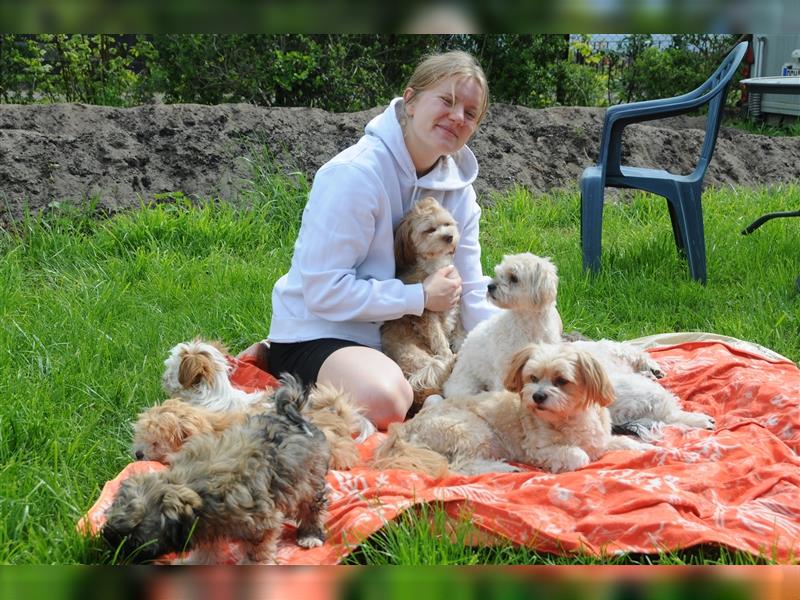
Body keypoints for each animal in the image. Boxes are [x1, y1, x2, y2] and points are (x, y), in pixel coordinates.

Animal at [104, 372, 332, 564]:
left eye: (134, 539)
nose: (111, 549)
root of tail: (291, 413)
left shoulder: (261, 524)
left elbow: (256, 554)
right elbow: (207, 550)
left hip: (309, 478)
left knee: (312, 505)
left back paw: (310, 535)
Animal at [372, 342, 652, 478]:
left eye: (561, 380)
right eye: (532, 378)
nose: (538, 396)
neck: (569, 418)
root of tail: (404, 429)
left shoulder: (598, 439)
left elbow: (616, 443)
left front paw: (640, 447)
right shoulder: (537, 450)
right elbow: (579, 455)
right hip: (472, 430)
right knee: (461, 467)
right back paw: (505, 469)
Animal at [444, 253, 564, 398]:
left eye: (514, 278)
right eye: (498, 273)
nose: (490, 286)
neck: (529, 324)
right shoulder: (505, 370)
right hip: (465, 385)